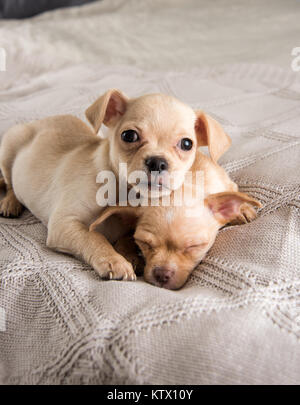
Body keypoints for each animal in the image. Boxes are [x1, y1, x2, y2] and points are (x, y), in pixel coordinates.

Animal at [0, 88, 230, 280]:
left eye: (187, 144)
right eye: (129, 135)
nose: (157, 162)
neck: (123, 191)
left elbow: (126, 237)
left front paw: (131, 255)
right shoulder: (64, 224)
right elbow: (93, 237)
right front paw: (115, 261)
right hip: (9, 146)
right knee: (10, 182)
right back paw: (10, 202)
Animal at [90, 150, 262, 288]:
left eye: (194, 246)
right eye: (144, 243)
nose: (161, 274)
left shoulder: (226, 185)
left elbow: (234, 193)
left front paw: (243, 209)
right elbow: (125, 237)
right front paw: (129, 255)